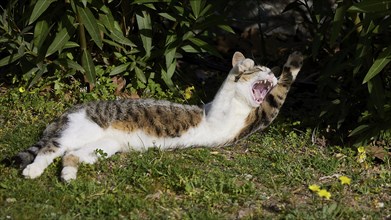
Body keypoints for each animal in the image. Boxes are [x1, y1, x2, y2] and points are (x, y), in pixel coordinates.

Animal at [13, 50, 304, 181]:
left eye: (270, 70)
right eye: (262, 70)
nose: (271, 73)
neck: (242, 106)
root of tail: (71, 109)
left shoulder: (258, 117)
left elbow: (279, 93)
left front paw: (291, 64)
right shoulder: (220, 111)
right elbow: (237, 81)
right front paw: (245, 65)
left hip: (103, 146)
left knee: (69, 154)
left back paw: (68, 175)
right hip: (80, 130)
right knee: (50, 149)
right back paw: (33, 170)